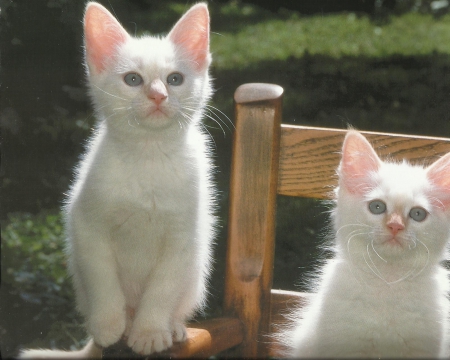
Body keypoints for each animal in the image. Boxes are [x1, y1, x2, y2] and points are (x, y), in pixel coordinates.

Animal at [20, 1, 216, 358]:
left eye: (175, 79)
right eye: (133, 79)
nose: (158, 96)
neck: (148, 156)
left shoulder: (184, 237)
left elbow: (163, 287)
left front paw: (150, 331)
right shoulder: (86, 226)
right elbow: (103, 279)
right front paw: (109, 325)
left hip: (196, 273)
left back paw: (172, 327)